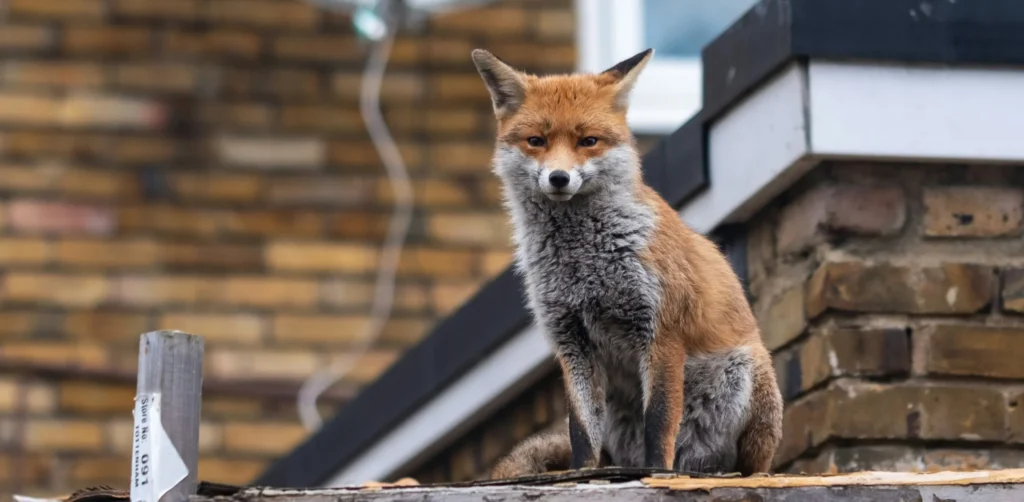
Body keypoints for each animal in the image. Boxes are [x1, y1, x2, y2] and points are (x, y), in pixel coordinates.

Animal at [470, 47, 784, 479]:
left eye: (588, 141)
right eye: (537, 141)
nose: (559, 177)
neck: (584, 265)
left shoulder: (661, 332)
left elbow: (660, 422)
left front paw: (657, 474)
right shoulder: (572, 342)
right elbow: (581, 433)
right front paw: (581, 476)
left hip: (747, 373)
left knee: (747, 463)